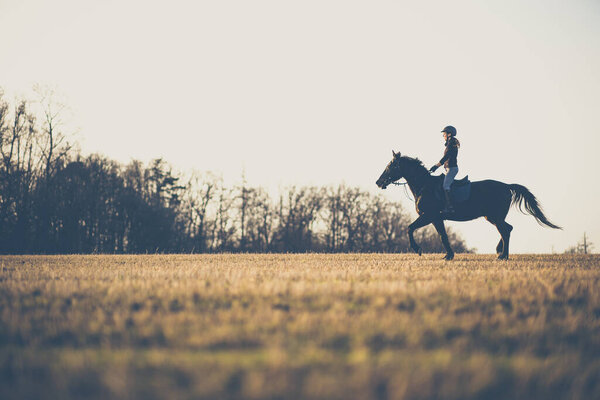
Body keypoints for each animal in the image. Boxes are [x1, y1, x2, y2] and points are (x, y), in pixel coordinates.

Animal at [376, 150, 564, 260]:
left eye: (391, 165)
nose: (378, 182)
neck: (424, 185)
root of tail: (506, 186)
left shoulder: (428, 216)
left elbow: (410, 228)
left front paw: (418, 250)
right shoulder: (436, 218)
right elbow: (443, 235)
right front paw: (448, 255)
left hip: (495, 216)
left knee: (505, 230)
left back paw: (502, 255)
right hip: (492, 217)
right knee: (507, 229)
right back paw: (500, 252)